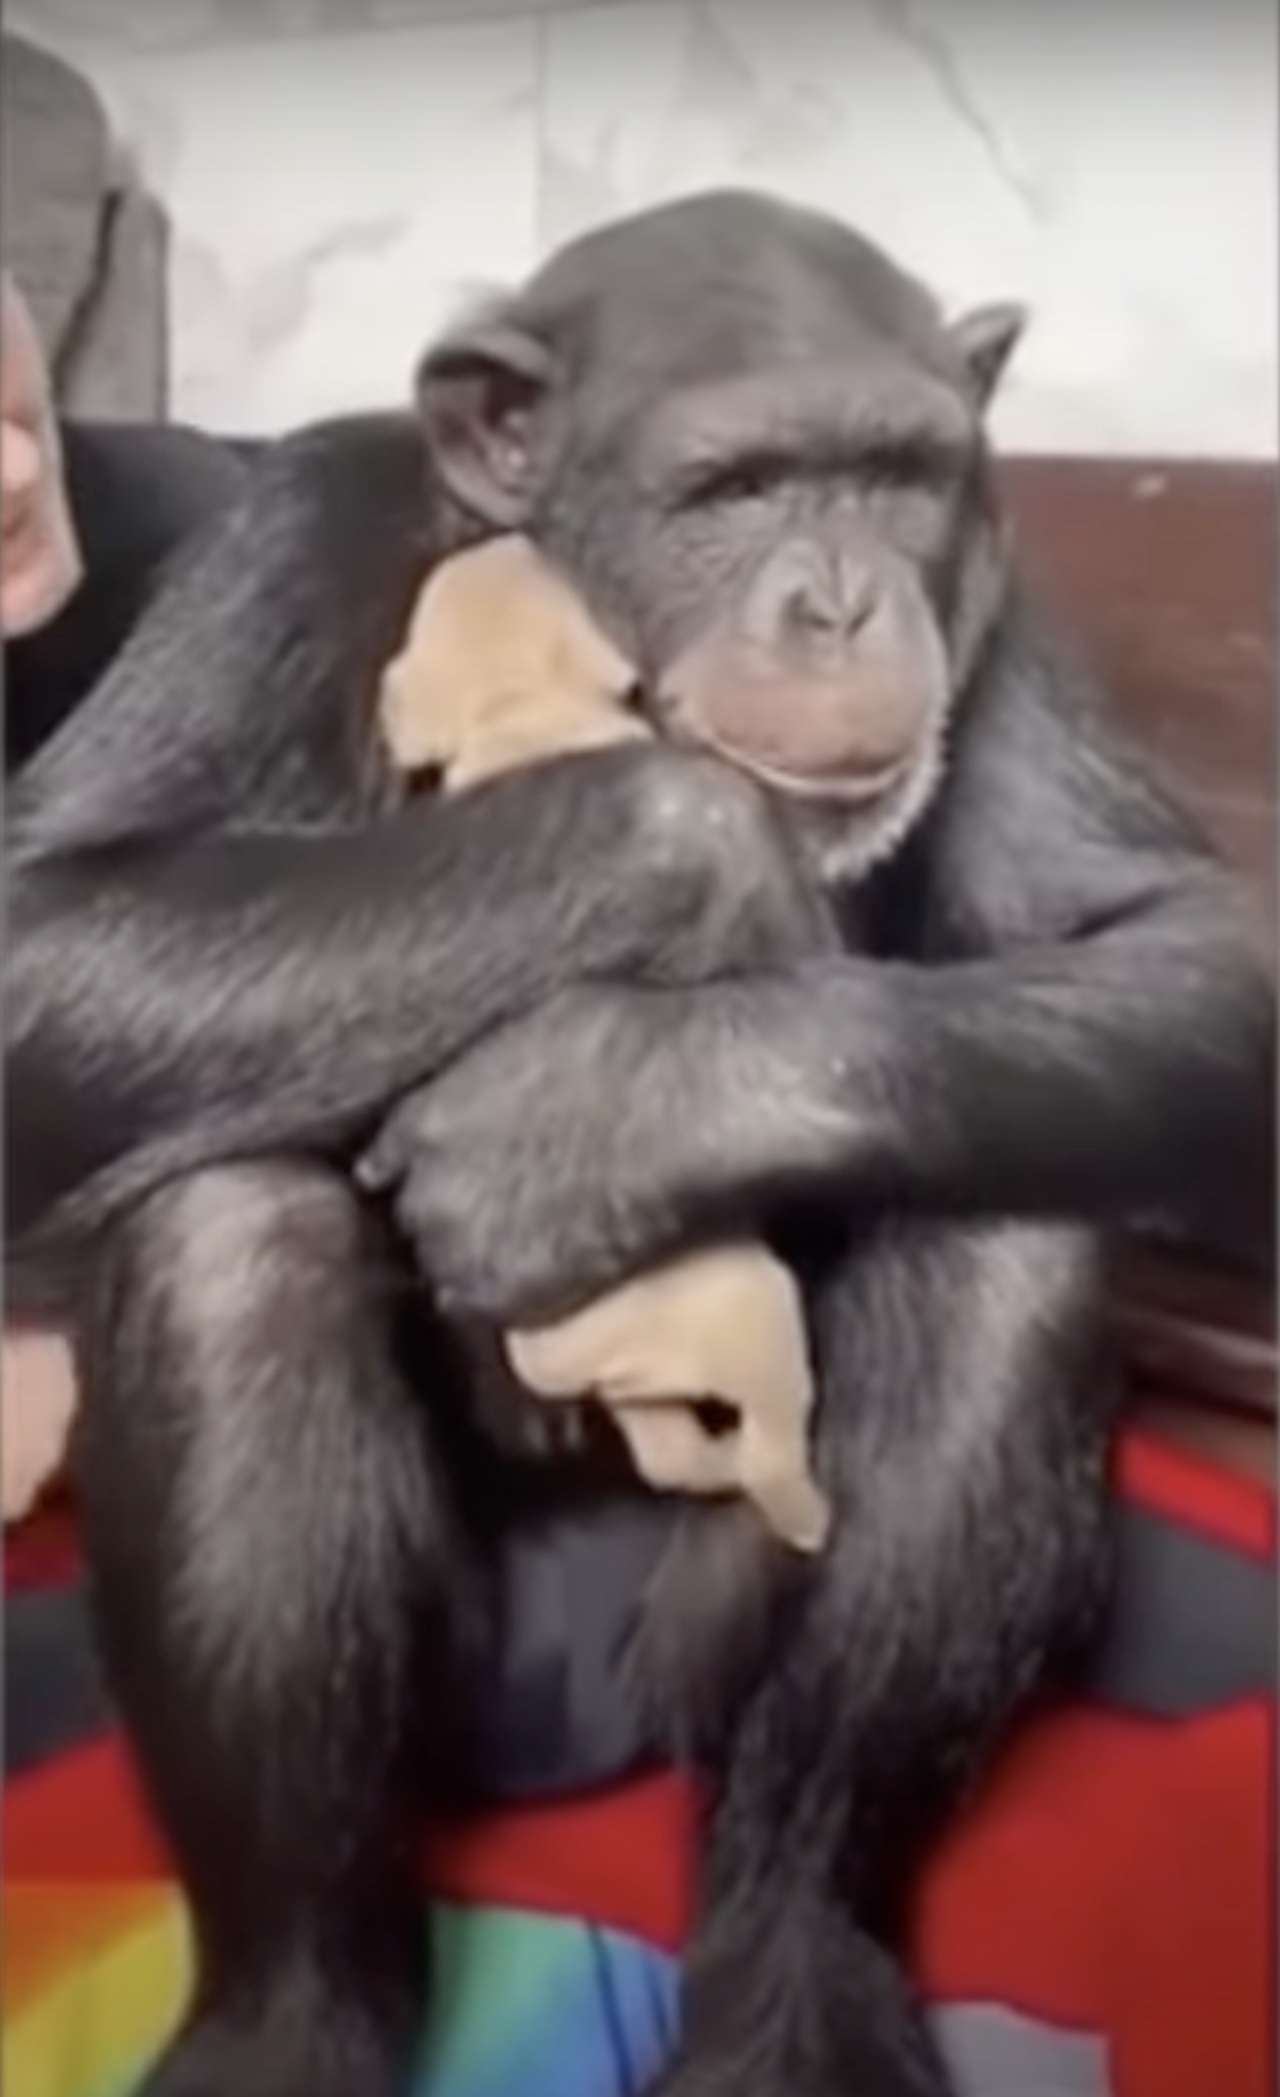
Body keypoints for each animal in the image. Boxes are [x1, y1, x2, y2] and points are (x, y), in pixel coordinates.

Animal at [373, 536, 826, 1560]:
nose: (508, 533)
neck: (519, 706)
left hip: (626, 1379)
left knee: (661, 1445)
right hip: (755, 1315)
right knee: (757, 1441)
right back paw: (806, 1509)